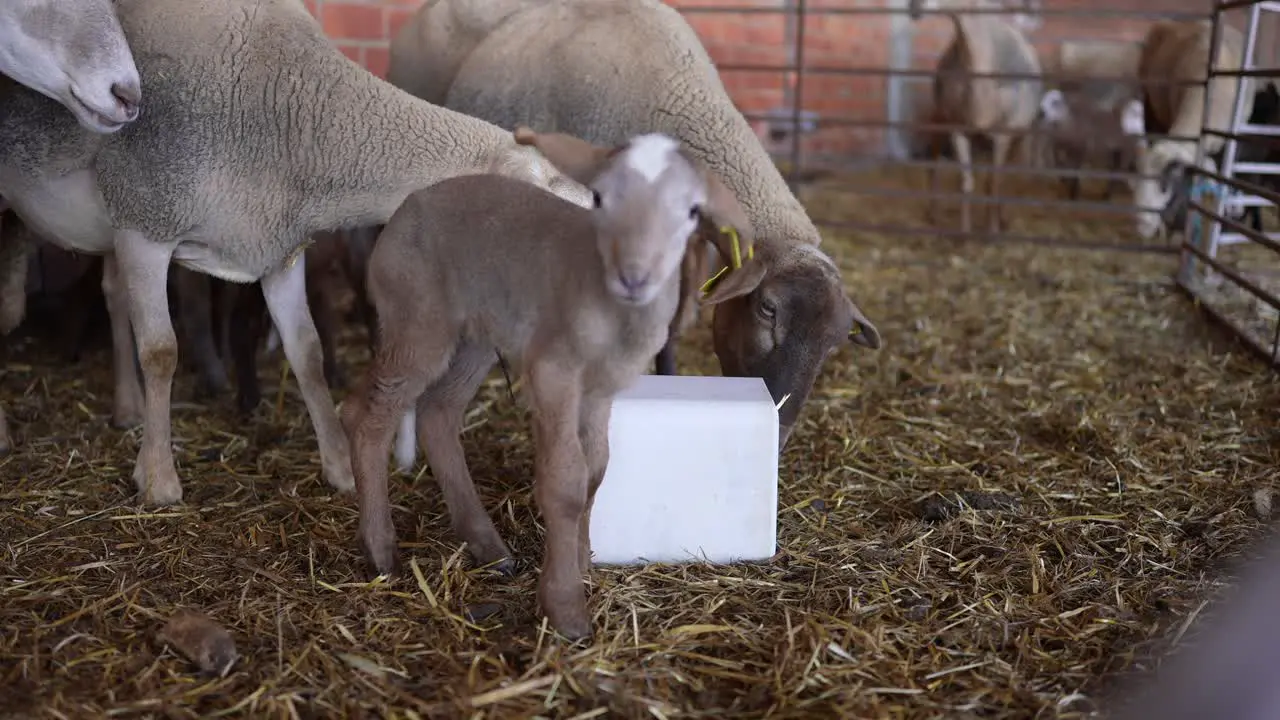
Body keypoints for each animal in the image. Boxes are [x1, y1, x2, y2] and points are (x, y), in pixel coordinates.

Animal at [337, 126, 757, 635]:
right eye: (601, 197)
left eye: (692, 210)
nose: (634, 276)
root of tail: (402, 212)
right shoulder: (554, 371)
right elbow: (566, 482)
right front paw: (565, 608)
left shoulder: (601, 387)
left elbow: (596, 470)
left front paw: (582, 563)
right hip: (417, 320)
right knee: (367, 415)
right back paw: (380, 550)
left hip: (477, 335)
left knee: (438, 416)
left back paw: (490, 549)